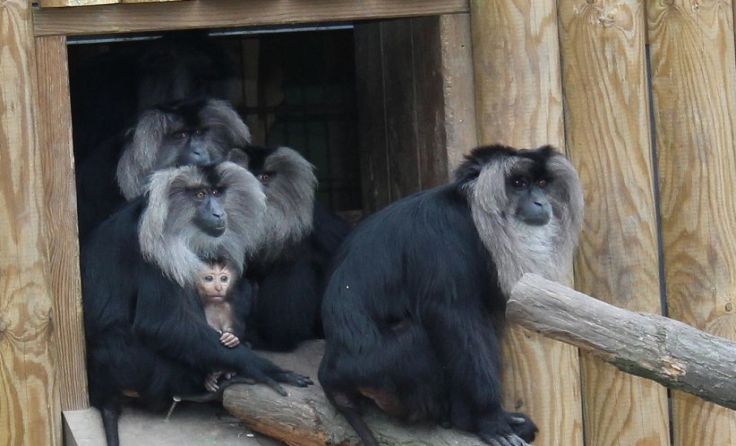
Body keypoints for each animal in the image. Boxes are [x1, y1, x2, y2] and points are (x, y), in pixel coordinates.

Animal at [82, 161, 312, 446]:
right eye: (200, 195)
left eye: (216, 193)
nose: (217, 212)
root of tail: (101, 388)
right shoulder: (155, 248)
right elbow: (162, 325)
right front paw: (263, 368)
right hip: (133, 364)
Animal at [318, 145, 584, 446]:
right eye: (518, 183)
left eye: (541, 183)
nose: (540, 202)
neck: (472, 215)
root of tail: (331, 373)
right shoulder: (443, 236)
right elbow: (452, 317)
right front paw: (490, 420)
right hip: (376, 368)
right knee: (420, 336)